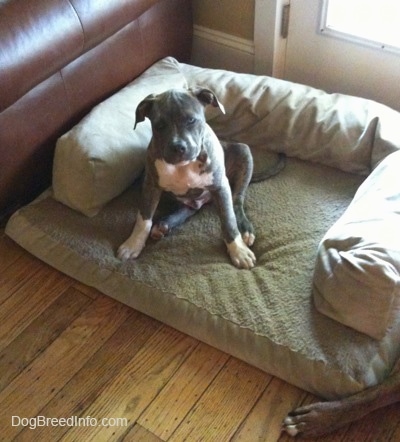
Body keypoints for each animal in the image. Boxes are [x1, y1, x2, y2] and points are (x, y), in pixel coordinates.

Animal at [117, 85, 282, 266]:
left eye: (191, 120)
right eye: (159, 125)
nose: (178, 147)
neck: (183, 165)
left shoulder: (220, 186)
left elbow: (228, 220)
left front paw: (238, 250)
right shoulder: (150, 185)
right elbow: (143, 218)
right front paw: (133, 244)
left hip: (242, 152)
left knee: (236, 202)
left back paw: (244, 229)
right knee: (190, 208)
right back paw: (164, 224)